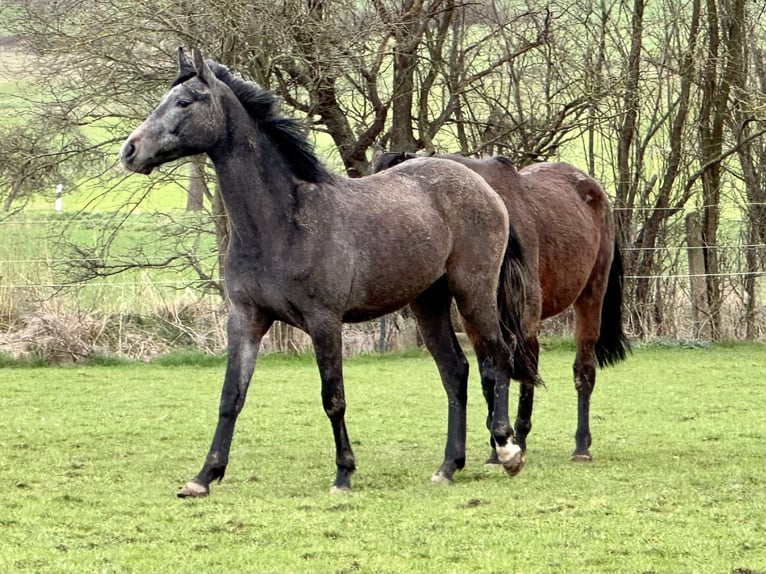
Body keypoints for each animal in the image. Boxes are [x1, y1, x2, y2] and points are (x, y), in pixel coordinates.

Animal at [118, 49, 536, 498]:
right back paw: (448, 466)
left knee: (497, 359)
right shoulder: (246, 318)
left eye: (184, 102)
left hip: (473, 291)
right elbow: (231, 397)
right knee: (455, 371)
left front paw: (343, 473)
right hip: (428, 300)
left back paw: (507, 451)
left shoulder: (324, 322)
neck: (283, 223)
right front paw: (203, 478)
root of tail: (484, 187)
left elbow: (333, 398)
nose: (130, 150)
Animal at [372, 152, 632, 464]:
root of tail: (594, 191)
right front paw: (498, 448)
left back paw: (581, 446)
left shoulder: (524, 322)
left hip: (590, 298)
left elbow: (517, 374)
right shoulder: (477, 325)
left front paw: (513, 439)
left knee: (583, 370)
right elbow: (490, 377)